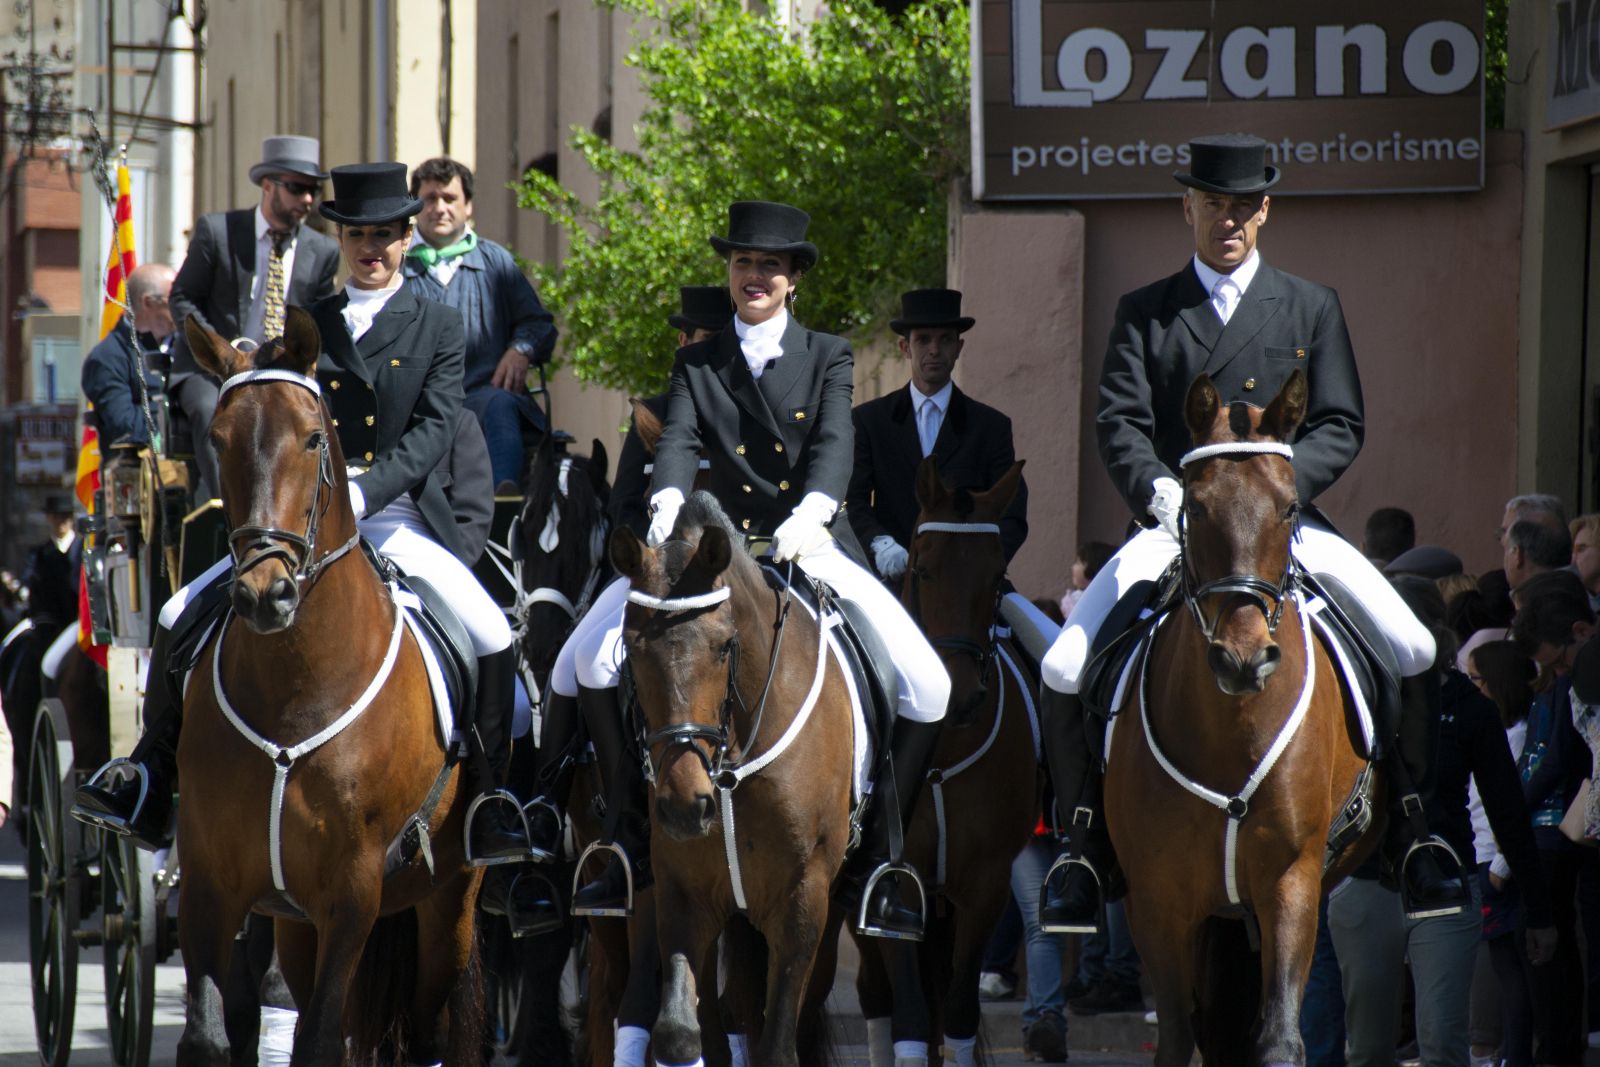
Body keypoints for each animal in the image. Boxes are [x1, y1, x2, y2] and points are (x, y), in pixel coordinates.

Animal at [171, 307, 480, 1062]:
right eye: (218, 438)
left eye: (313, 437)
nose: (265, 593)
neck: (295, 686)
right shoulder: (210, 884)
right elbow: (209, 1036)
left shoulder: (352, 893)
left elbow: (317, 1039)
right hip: (293, 920)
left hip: (449, 898)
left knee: (432, 1023)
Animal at [608, 495, 857, 1067]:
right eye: (631, 649)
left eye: (724, 646)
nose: (684, 806)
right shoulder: (683, 893)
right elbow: (680, 1033)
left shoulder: (803, 902)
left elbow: (778, 1046)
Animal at [857, 460, 1043, 1067]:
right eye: (922, 568)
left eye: (997, 577)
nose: (959, 694)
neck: (944, 753)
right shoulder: (891, 880)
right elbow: (911, 1020)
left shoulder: (984, 887)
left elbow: (957, 1012)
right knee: (874, 997)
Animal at [1107, 371, 1382, 1062]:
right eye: (1196, 507)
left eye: (1288, 507)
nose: (1243, 659)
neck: (1231, 728)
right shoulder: (1158, 900)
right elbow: (1178, 1039)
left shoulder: (1291, 880)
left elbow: (1280, 1036)